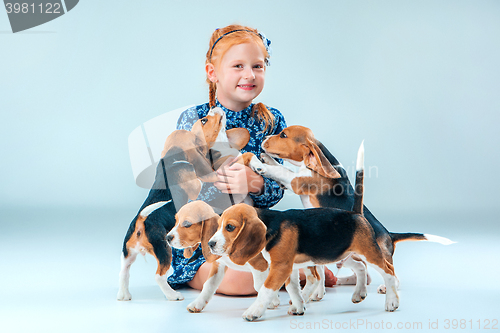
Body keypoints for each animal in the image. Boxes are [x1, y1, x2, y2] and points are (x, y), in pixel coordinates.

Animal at [117, 107, 250, 300]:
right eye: (204, 120)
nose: (214, 107)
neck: (172, 157)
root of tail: (141, 221)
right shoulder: (199, 183)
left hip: (127, 253)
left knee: (124, 272)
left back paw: (124, 295)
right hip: (165, 249)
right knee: (159, 276)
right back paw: (173, 295)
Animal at [211, 143, 454, 320]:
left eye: (230, 227)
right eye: (219, 224)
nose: (211, 244)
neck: (272, 224)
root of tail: (355, 213)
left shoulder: (280, 267)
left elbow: (266, 289)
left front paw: (254, 312)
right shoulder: (288, 267)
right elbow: (293, 288)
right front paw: (298, 307)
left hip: (370, 253)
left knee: (389, 272)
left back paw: (391, 301)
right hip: (342, 254)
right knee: (361, 269)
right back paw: (358, 293)